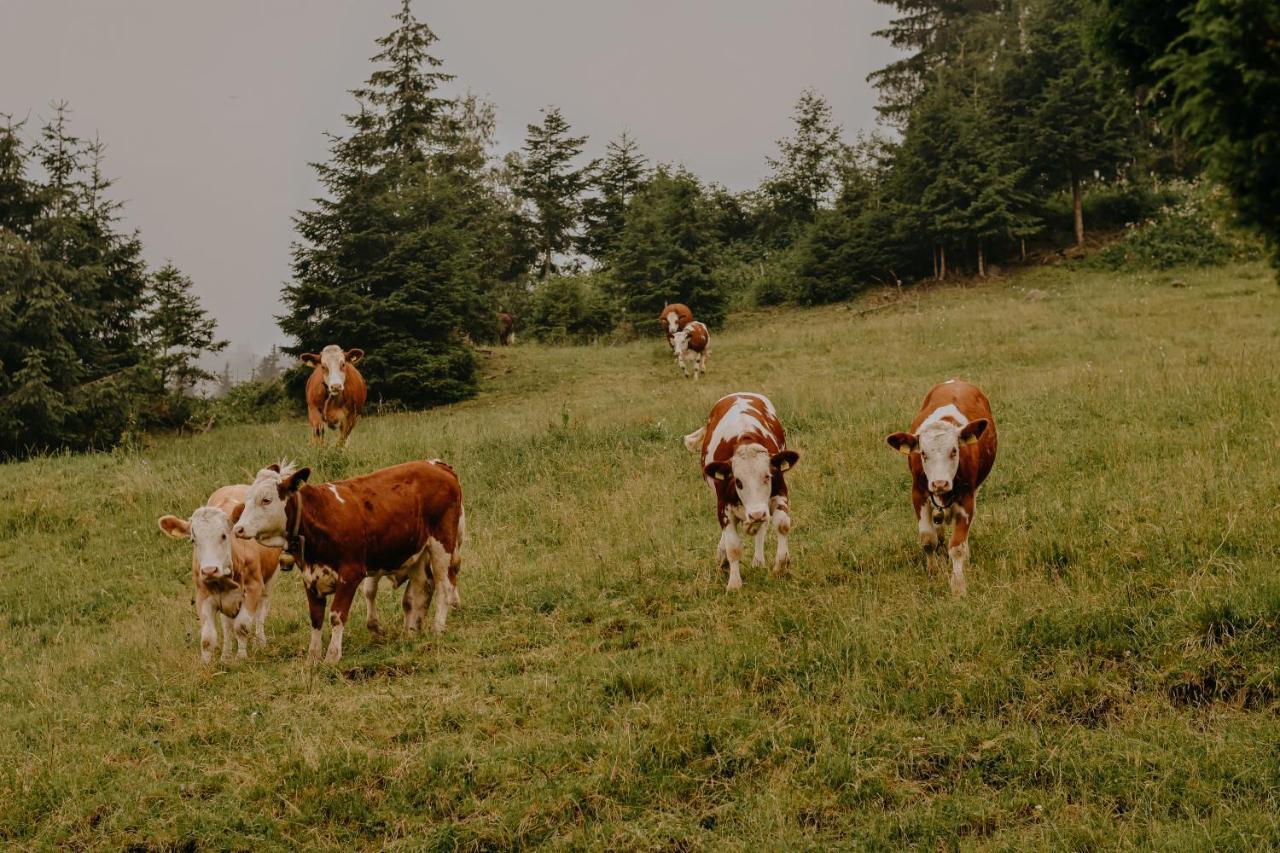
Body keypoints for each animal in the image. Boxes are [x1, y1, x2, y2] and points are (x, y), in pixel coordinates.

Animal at [156, 481, 280, 660]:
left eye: (224, 535)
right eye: (193, 540)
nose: (209, 570)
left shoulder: (253, 588)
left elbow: (242, 627)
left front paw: (241, 658)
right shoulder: (204, 596)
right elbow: (208, 638)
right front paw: (208, 663)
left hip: (270, 580)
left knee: (260, 614)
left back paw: (260, 644)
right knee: (227, 625)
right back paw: (226, 655)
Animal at [231, 458, 465, 666]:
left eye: (266, 500)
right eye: (248, 498)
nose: (238, 529)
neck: (321, 517)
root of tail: (439, 466)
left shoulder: (350, 575)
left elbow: (336, 615)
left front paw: (332, 656)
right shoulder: (310, 578)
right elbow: (316, 618)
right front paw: (312, 657)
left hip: (442, 544)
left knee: (444, 587)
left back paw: (437, 628)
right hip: (416, 551)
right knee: (421, 588)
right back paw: (411, 632)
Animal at [680, 389, 798, 584]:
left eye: (767, 476)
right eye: (738, 481)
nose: (757, 514)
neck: (745, 439)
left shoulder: (779, 492)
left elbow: (781, 524)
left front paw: (780, 567)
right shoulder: (723, 506)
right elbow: (733, 546)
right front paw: (734, 583)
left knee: (761, 528)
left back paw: (758, 560)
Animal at [885, 376, 993, 594]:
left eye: (954, 450)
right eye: (923, 453)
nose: (940, 483)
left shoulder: (967, 497)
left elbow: (957, 547)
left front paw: (958, 586)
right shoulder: (918, 492)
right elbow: (928, 539)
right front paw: (932, 571)